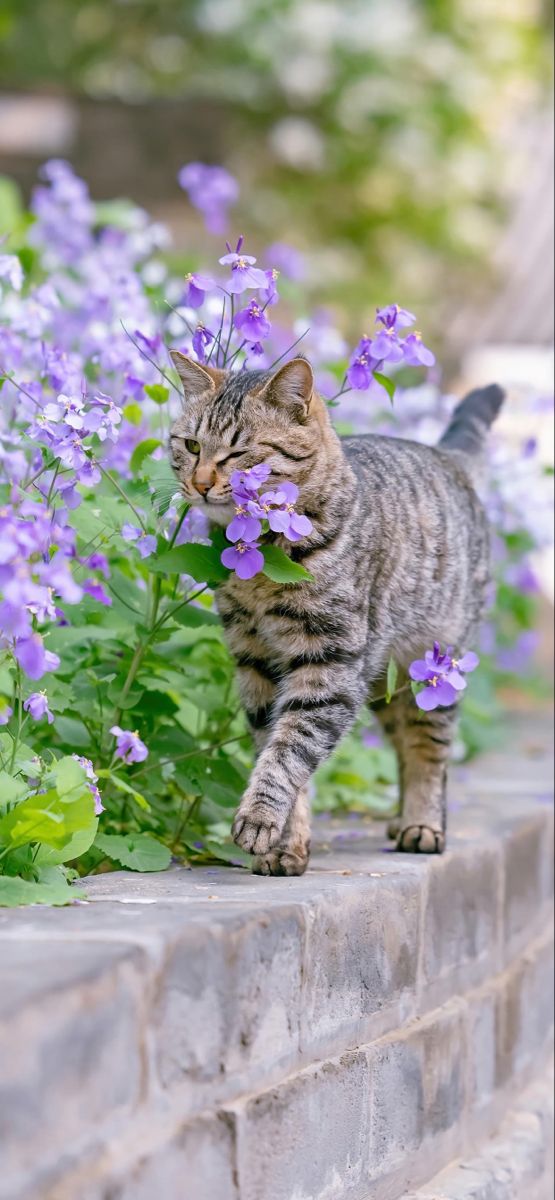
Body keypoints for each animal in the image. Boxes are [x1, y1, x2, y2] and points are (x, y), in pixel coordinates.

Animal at [168, 350, 502, 878]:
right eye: (191, 444)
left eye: (238, 454)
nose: (199, 484)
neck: (265, 561)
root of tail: (447, 456)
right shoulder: (256, 662)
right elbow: (277, 747)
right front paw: (286, 844)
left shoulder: (329, 665)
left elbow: (290, 750)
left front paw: (261, 817)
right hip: (384, 681)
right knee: (403, 741)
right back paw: (400, 819)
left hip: (433, 665)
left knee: (429, 747)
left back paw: (423, 824)